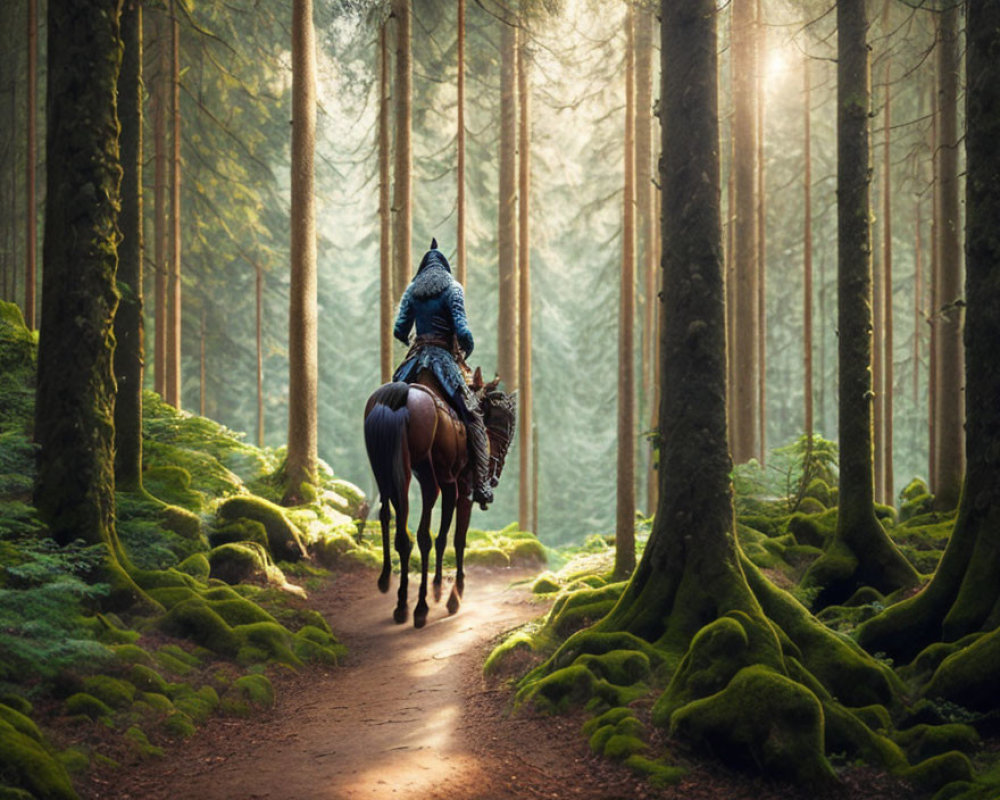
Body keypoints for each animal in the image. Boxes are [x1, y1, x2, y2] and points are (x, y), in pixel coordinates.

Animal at [364, 368, 516, 624]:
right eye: (506, 419)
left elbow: (443, 536)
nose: (497, 467)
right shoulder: (462, 487)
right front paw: (453, 594)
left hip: (384, 469)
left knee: (389, 518)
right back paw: (419, 606)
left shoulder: (449, 484)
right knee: (420, 533)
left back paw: (394, 592)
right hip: (421, 474)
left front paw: (438, 588)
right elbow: (455, 538)